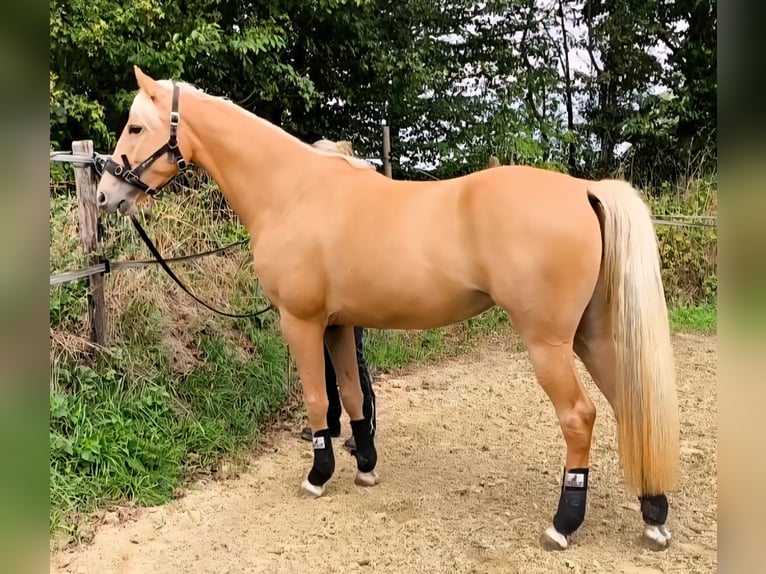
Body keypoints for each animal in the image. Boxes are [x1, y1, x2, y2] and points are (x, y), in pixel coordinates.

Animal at [96, 66, 680, 551]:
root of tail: (585, 190)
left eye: (135, 127)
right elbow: (353, 395)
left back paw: (563, 524)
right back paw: (653, 513)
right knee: (630, 405)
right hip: (591, 335)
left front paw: (318, 475)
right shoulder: (338, 325)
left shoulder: (301, 323)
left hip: (549, 344)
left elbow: (317, 399)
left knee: (579, 416)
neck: (292, 191)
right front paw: (365, 466)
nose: (105, 195)